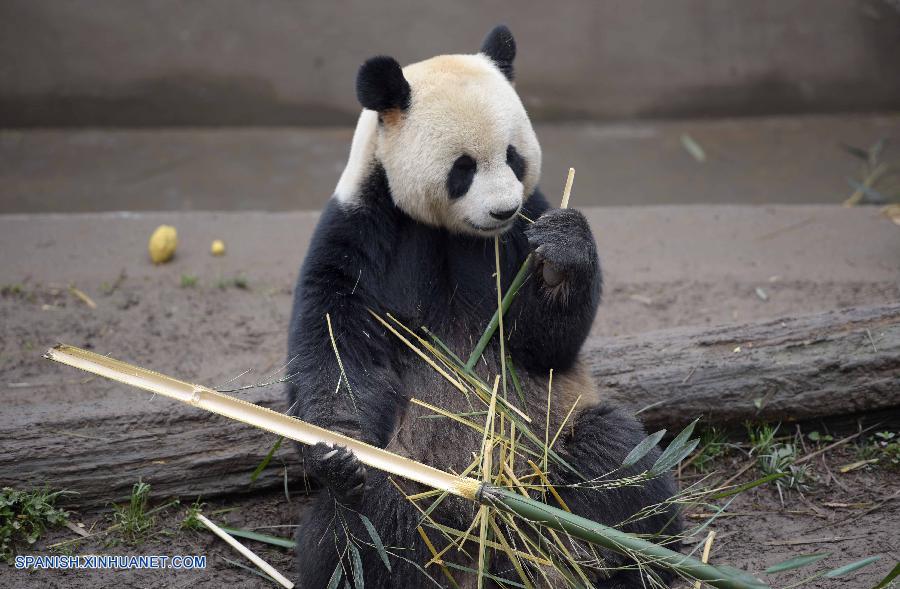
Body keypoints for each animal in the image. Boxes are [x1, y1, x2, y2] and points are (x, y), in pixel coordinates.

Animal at [284, 24, 680, 588]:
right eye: (463, 168)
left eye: (514, 156)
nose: (503, 210)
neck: (452, 233)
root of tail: (483, 522)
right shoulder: (361, 228)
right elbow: (336, 338)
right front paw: (338, 446)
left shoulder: (519, 233)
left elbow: (542, 345)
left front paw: (560, 253)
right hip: (406, 479)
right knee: (354, 534)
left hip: (553, 440)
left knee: (620, 466)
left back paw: (623, 556)